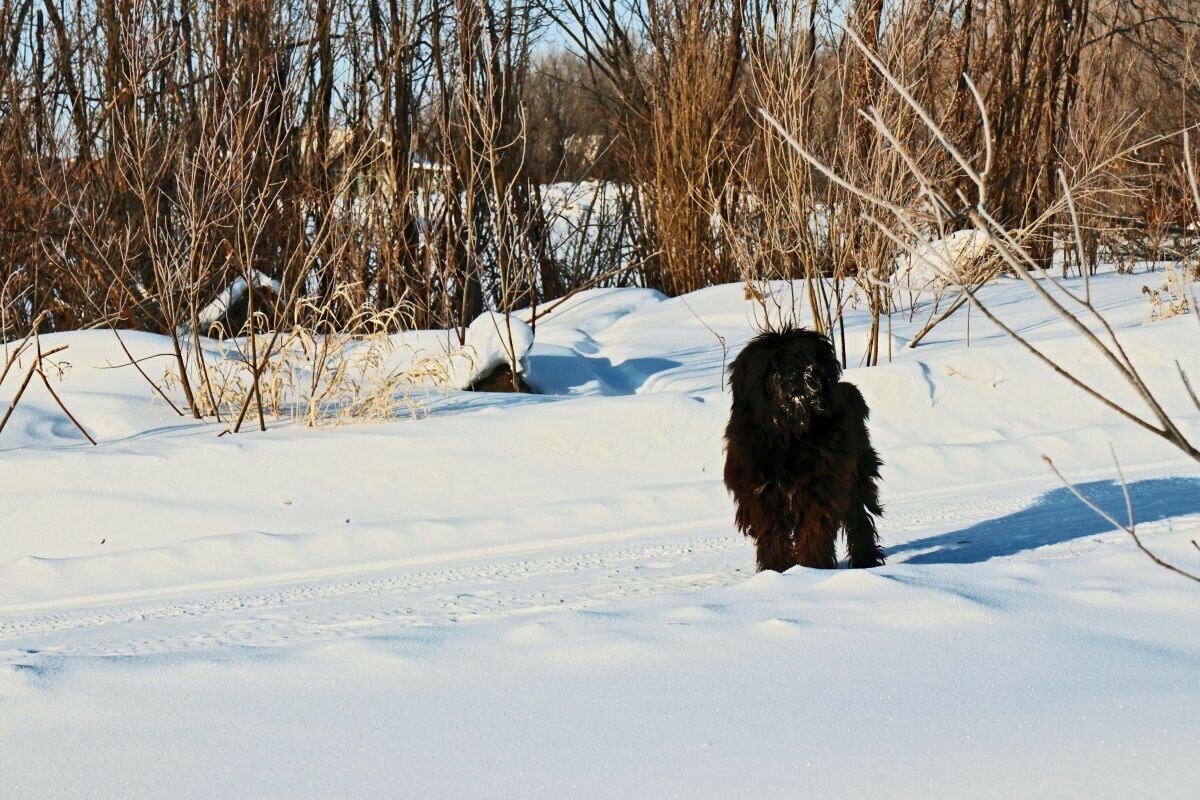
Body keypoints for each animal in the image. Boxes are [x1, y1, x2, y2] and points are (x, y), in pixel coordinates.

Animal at [720, 328, 883, 573]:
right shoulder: (761, 498)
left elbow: (813, 532)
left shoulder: (821, 490)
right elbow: (773, 536)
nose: (794, 377)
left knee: (859, 520)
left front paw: (811, 569)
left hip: (857, 478)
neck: (789, 437)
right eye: (772, 367)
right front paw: (776, 571)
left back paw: (866, 562)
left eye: (803, 360)